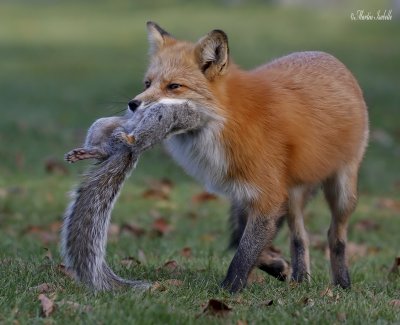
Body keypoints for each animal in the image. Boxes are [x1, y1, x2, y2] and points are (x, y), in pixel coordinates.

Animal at [128, 22, 368, 292]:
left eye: (174, 86)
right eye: (147, 83)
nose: (133, 104)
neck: (229, 121)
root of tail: (328, 56)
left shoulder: (268, 197)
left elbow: (244, 252)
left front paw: (229, 289)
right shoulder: (246, 195)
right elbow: (243, 241)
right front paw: (278, 267)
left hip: (343, 192)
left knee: (335, 235)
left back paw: (342, 283)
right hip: (293, 196)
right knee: (300, 237)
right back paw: (300, 279)